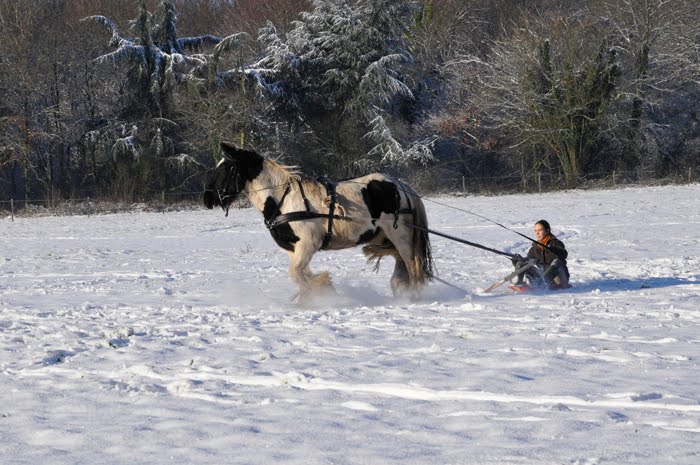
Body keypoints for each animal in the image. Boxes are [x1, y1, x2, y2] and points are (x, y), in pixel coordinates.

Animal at [202, 141, 432, 300]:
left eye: (225, 169)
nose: (207, 199)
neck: (283, 199)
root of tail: (401, 185)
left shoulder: (307, 245)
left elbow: (297, 273)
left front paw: (323, 287)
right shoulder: (293, 249)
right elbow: (300, 275)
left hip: (401, 236)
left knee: (413, 265)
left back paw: (412, 296)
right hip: (387, 238)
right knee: (401, 263)